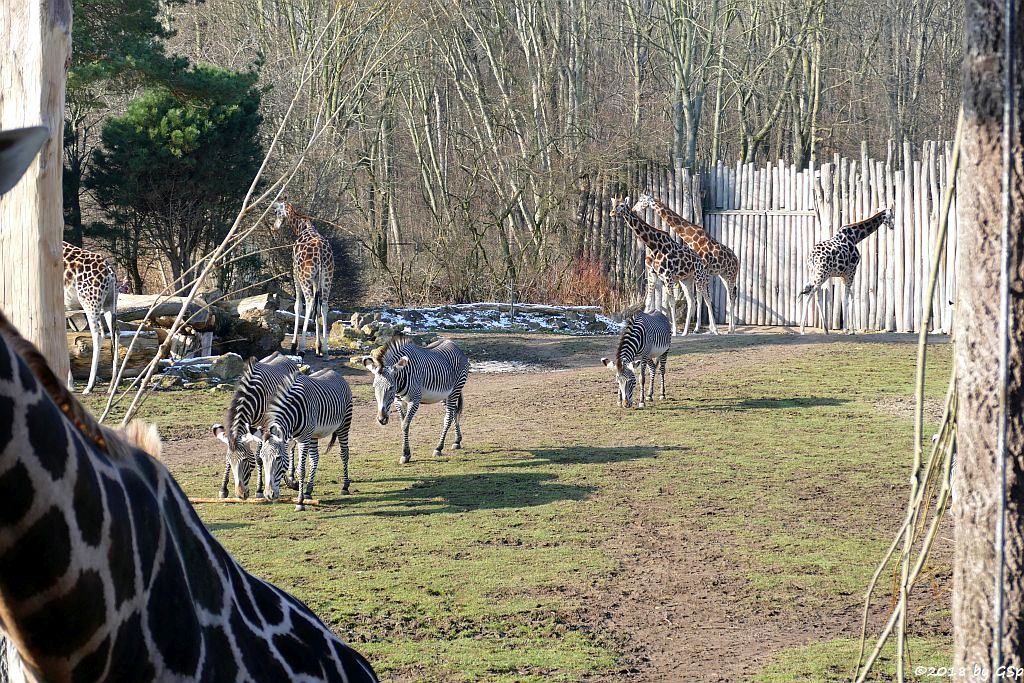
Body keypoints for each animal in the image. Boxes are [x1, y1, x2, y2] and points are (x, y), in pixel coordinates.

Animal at [210, 352, 296, 497]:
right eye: (230, 461)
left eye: (245, 460)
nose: (240, 495)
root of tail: (280, 354)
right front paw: (223, 488)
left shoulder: (264, 425)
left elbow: (259, 457)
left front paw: (260, 489)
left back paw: (291, 478)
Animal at [253, 368, 354, 507]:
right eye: (262, 458)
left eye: (278, 458)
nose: (268, 495)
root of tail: (335, 372)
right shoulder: (290, 439)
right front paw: (293, 484)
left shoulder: (303, 439)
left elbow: (300, 470)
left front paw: (300, 502)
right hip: (314, 434)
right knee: (315, 458)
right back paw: (308, 490)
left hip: (344, 424)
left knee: (344, 453)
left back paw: (345, 486)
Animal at [274, 198, 333, 360]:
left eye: (276, 211)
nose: (275, 227)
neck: (301, 228)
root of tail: (320, 252)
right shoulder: (316, 279)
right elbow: (317, 310)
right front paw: (318, 347)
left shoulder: (295, 272)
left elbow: (298, 306)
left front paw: (294, 345)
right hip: (327, 277)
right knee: (323, 305)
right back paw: (326, 350)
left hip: (304, 276)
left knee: (310, 301)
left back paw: (300, 348)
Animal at [362, 331, 468, 464]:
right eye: (374, 387)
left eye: (391, 387)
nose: (382, 419)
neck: (401, 379)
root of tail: (454, 345)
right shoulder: (399, 401)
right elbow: (403, 423)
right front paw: (406, 454)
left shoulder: (414, 400)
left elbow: (405, 424)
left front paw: (405, 454)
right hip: (446, 395)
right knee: (453, 412)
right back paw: (457, 441)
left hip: (455, 390)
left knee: (448, 418)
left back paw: (438, 448)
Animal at [606, 197, 720, 335]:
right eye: (613, 204)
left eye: (622, 205)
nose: (612, 212)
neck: (653, 245)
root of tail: (700, 260)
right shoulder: (654, 275)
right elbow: (649, 302)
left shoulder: (668, 276)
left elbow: (671, 303)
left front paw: (674, 331)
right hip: (686, 280)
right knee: (691, 301)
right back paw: (685, 332)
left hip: (699, 277)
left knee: (707, 299)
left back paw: (715, 330)